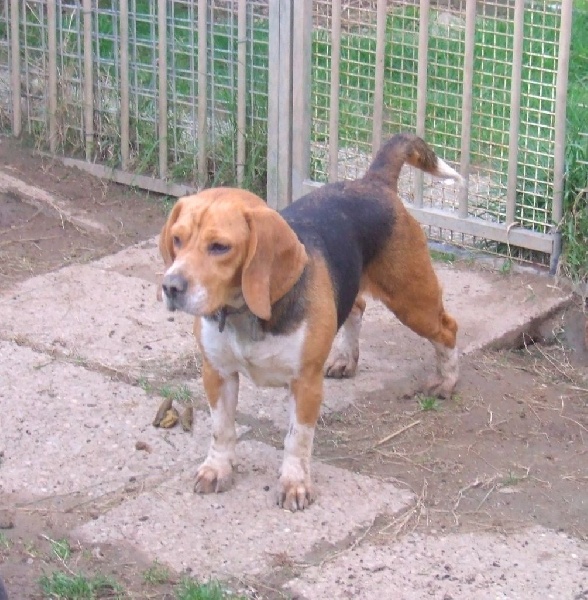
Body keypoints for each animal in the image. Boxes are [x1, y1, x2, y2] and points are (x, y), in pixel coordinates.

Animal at [158, 134, 462, 512]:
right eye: (178, 239)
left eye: (219, 247)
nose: (170, 286)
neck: (246, 315)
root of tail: (373, 181)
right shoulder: (218, 373)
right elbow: (222, 428)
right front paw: (218, 469)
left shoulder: (305, 383)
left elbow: (297, 439)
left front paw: (294, 484)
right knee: (358, 307)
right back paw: (346, 358)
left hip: (412, 301)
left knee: (447, 329)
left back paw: (447, 381)